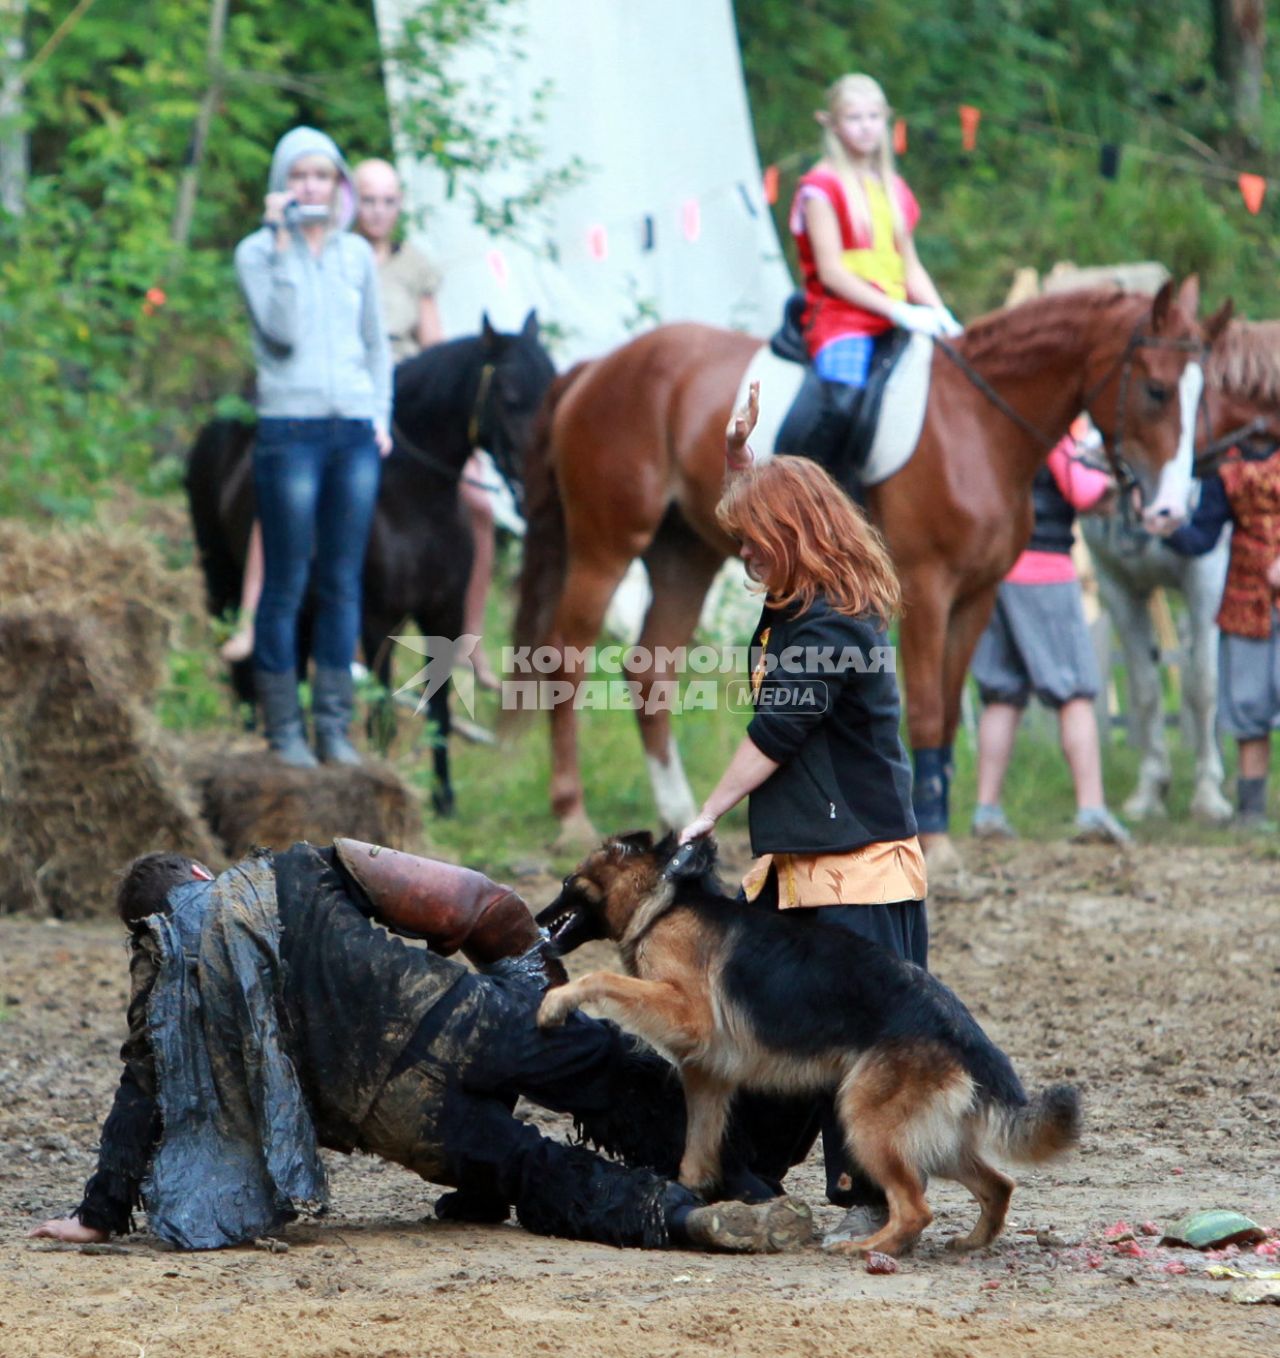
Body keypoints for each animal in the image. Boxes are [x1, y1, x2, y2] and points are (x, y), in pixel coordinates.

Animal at [518, 281, 1232, 874]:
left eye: (1206, 393)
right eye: (1156, 389)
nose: (1170, 511)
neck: (977, 423)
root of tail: (601, 366)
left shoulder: (976, 597)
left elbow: (948, 713)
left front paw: (936, 827)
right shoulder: (928, 587)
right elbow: (926, 712)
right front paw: (937, 843)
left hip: (682, 554)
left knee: (650, 671)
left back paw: (676, 810)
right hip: (607, 544)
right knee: (567, 659)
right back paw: (570, 813)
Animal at [532, 831, 1080, 1254]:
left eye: (565, 884)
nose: (534, 923)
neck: (666, 904)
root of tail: (962, 1029)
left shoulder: (688, 1016)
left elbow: (601, 977)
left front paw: (555, 1002)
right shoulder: (707, 1075)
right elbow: (695, 1153)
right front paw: (685, 1199)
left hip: (866, 1123)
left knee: (915, 1209)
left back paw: (867, 1248)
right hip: (931, 1138)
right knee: (998, 1185)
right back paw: (971, 1243)